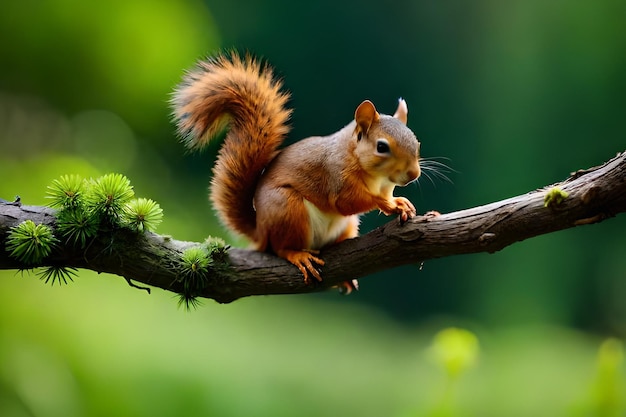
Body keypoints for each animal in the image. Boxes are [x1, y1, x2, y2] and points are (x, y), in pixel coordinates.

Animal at [171, 51, 420, 292]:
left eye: (416, 142)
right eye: (382, 147)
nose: (414, 175)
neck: (375, 177)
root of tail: (261, 230)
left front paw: (400, 203)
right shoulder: (336, 177)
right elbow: (347, 202)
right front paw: (389, 205)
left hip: (344, 223)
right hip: (288, 210)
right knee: (282, 248)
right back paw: (298, 255)